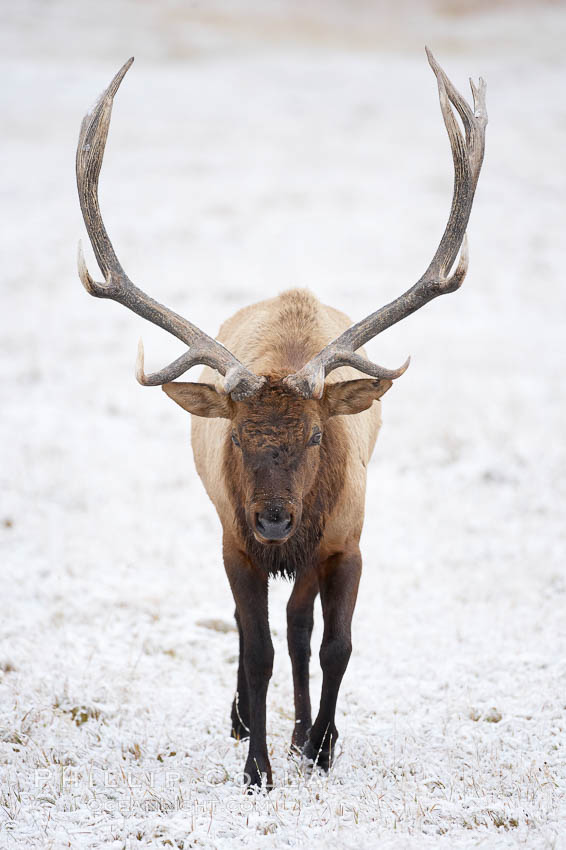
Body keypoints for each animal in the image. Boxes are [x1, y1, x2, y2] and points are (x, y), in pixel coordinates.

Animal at [75, 49, 488, 784]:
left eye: (319, 433)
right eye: (240, 437)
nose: (273, 517)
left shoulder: (346, 541)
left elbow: (333, 645)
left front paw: (319, 746)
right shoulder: (235, 544)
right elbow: (258, 647)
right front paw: (258, 767)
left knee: (302, 630)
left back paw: (304, 732)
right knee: (258, 634)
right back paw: (248, 721)